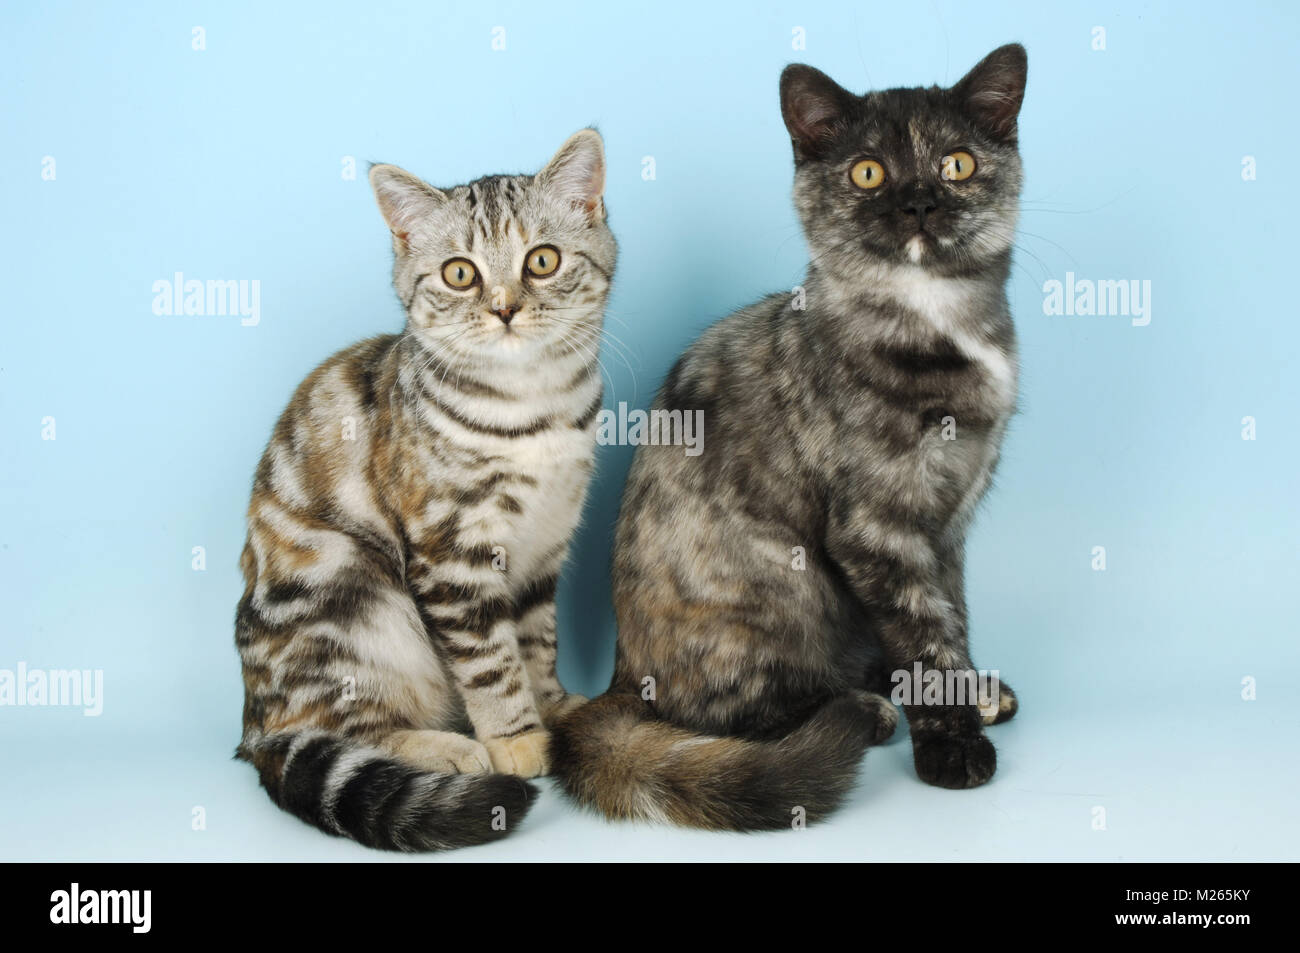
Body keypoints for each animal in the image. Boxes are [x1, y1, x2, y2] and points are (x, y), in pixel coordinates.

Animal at [235, 130, 618, 852]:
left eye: (543, 260)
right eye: (460, 273)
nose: (505, 308)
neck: (535, 408)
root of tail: (252, 724)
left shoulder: (545, 546)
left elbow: (536, 639)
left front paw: (551, 705)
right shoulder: (451, 553)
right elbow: (490, 659)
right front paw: (516, 737)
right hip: (353, 589)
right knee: (339, 725)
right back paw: (449, 748)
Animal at [553, 48, 1029, 826]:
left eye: (956, 164)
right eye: (867, 172)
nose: (919, 202)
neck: (940, 322)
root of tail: (619, 678)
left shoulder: (948, 524)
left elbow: (950, 614)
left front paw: (969, 691)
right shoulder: (877, 529)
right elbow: (925, 639)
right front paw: (951, 744)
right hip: (782, 585)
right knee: (733, 712)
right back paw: (861, 708)